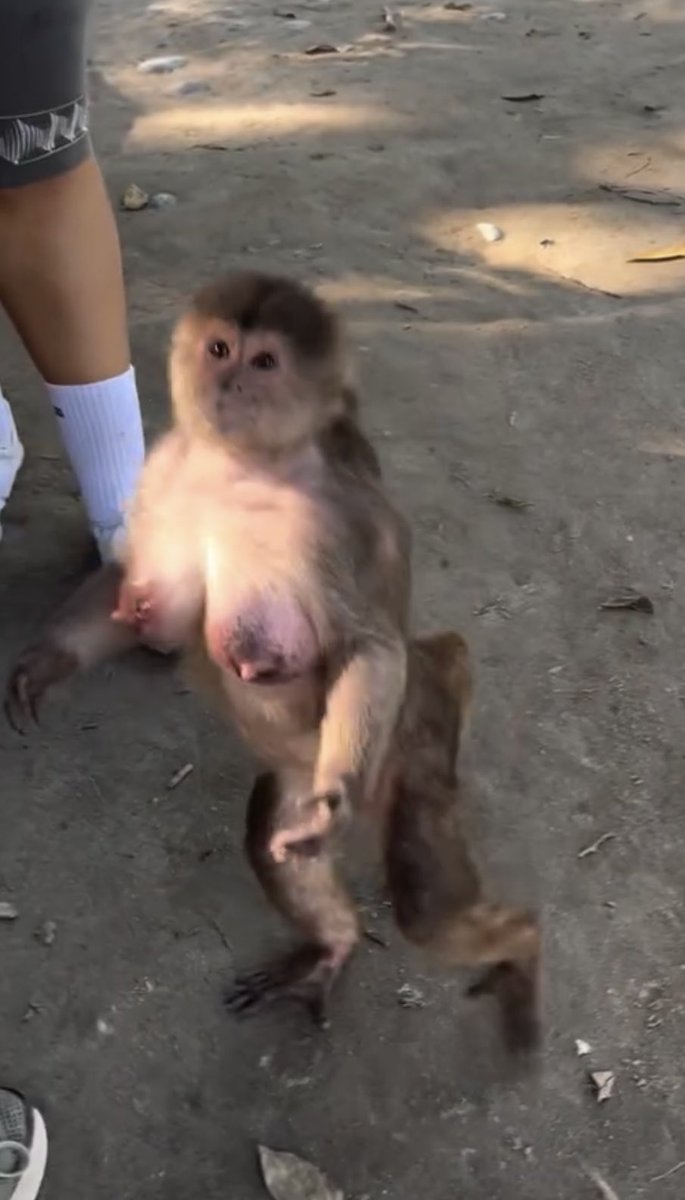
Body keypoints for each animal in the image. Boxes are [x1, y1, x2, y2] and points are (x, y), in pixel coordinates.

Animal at [4, 271, 540, 1051]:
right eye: (220, 349)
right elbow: (132, 581)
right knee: (274, 837)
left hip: (414, 752)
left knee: (424, 904)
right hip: (297, 772)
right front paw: (48, 658)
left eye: (263, 363)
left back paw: (521, 947)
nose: (228, 382)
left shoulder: (335, 520)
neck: (237, 471)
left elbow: (370, 647)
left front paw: (338, 796)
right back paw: (333, 948)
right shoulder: (166, 470)